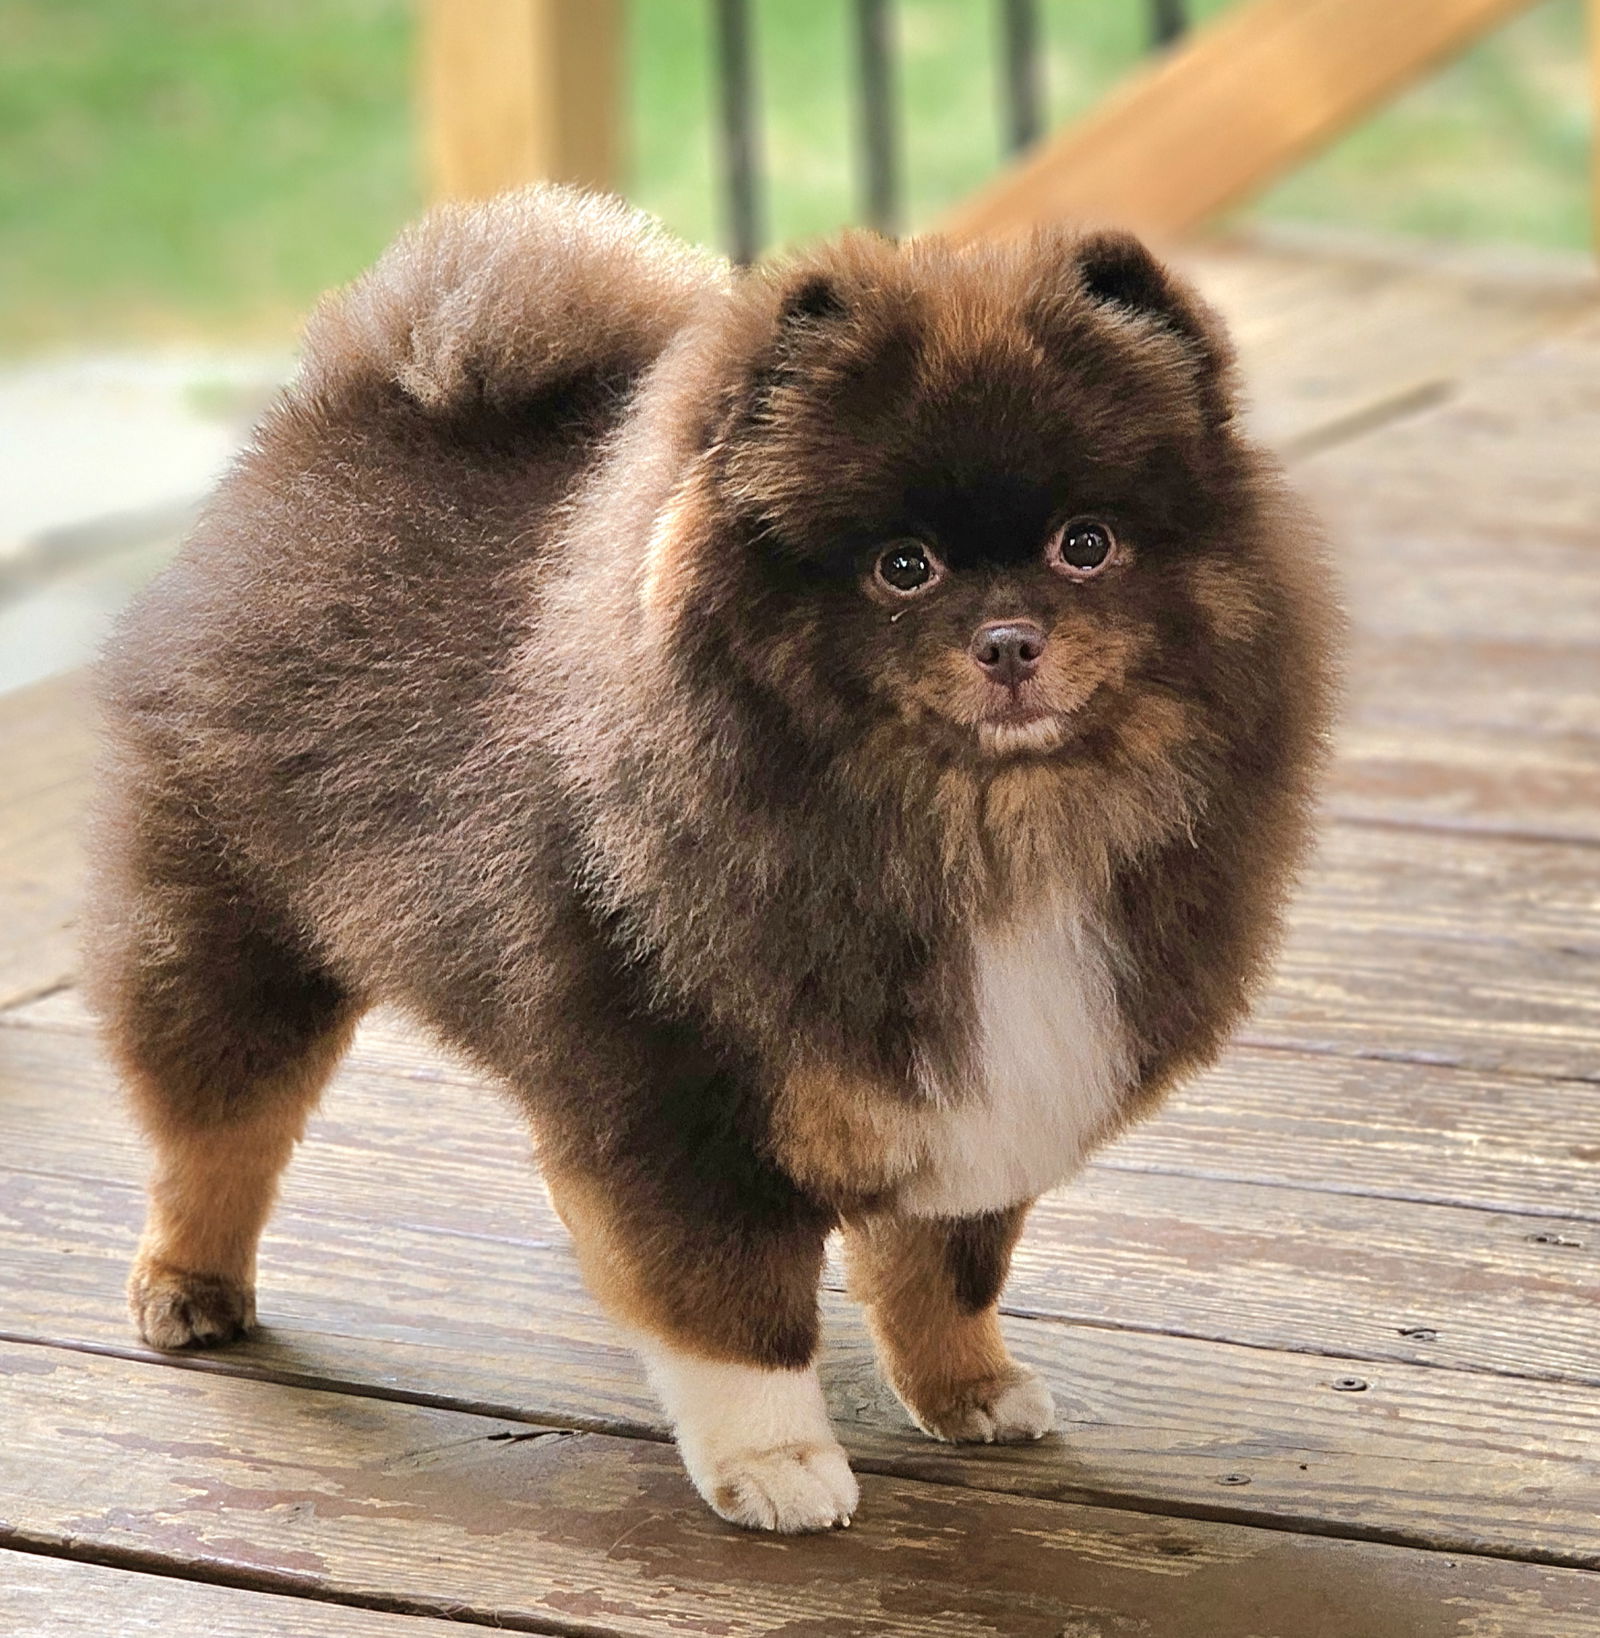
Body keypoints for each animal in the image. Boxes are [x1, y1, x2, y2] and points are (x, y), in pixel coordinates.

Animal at [87, 188, 1336, 1533]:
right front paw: (775, 1464)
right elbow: (736, 1315)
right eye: (903, 567)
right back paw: (188, 1287)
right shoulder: (686, 1099)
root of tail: (347, 398)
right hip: (231, 924)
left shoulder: (976, 1085)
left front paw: (966, 1390)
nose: (1010, 640)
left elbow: (942, 1266)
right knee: (215, 1131)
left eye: (1086, 543)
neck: (976, 829)